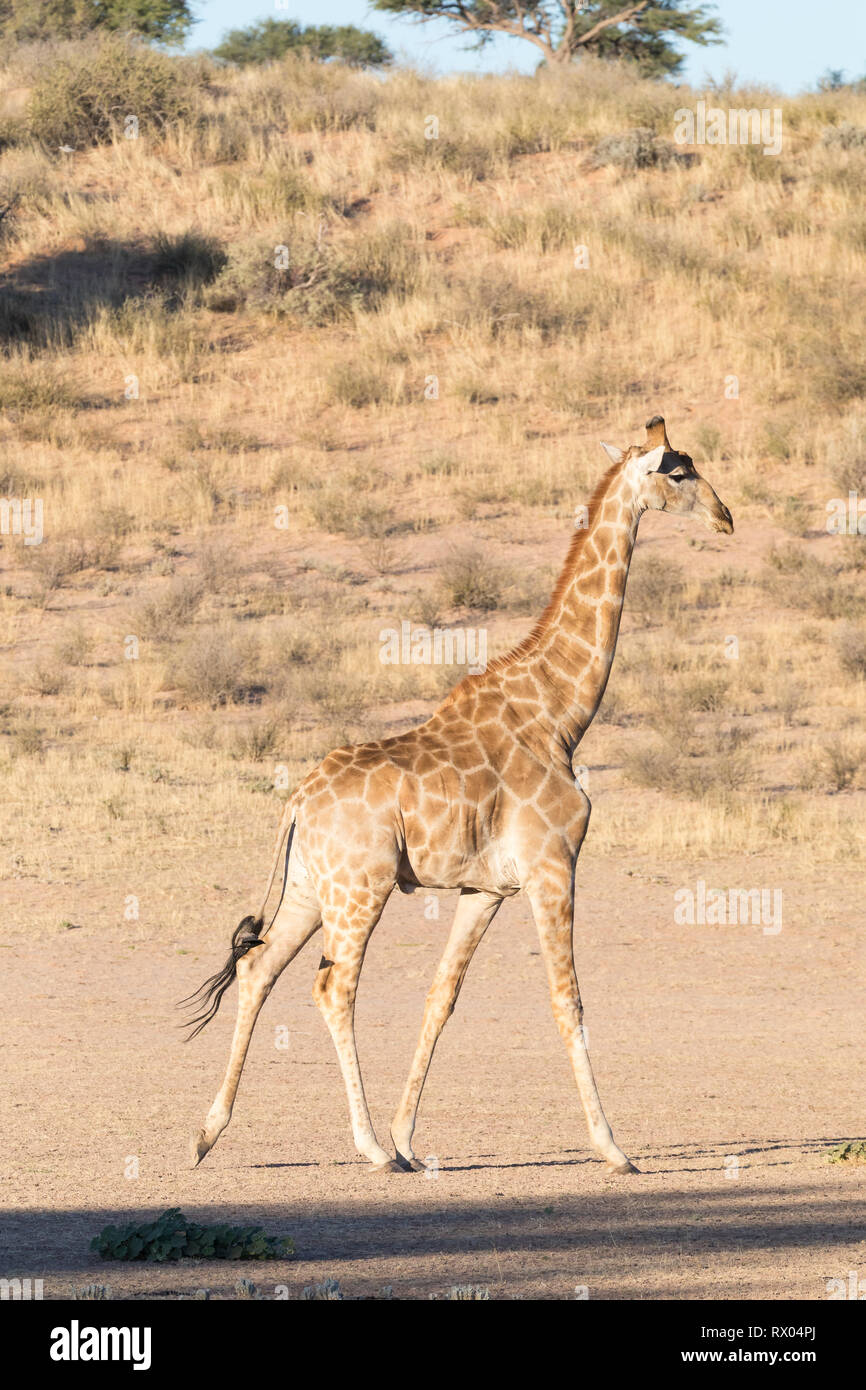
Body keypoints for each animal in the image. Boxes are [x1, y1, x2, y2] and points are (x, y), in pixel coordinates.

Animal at [186, 411, 733, 1173]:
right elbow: (568, 1001)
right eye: (679, 472)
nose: (726, 517)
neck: (560, 713)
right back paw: (365, 1148)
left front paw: (409, 1137)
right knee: (332, 987)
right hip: (361, 889)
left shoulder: (486, 888)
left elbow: (441, 996)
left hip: (309, 888)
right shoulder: (553, 866)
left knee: (259, 967)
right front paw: (614, 1149)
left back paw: (208, 1135)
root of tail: (297, 803)